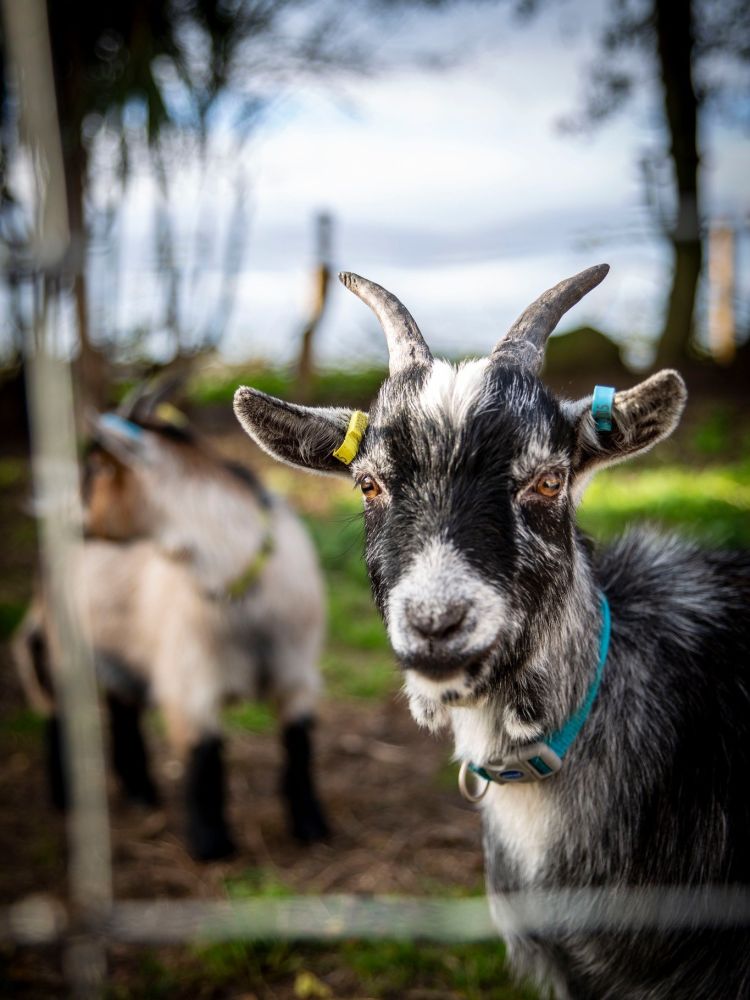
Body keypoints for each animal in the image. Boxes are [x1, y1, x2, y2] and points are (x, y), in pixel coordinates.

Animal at [13, 394, 329, 860]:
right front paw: (210, 844)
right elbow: (203, 758)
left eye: (97, 468)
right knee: (60, 711)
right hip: (63, 643)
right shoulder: (189, 681)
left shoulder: (296, 675)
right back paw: (65, 798)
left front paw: (311, 826)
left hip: (119, 649)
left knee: (121, 708)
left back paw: (140, 792)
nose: (73, 522)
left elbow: (299, 747)